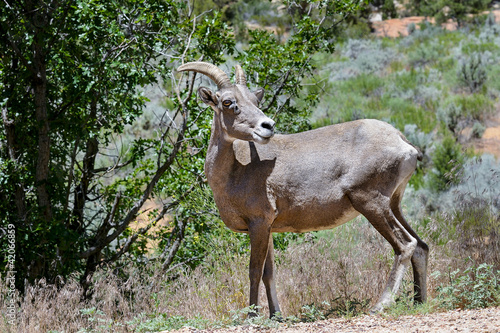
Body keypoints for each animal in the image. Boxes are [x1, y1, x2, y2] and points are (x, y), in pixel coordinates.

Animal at [178, 61, 428, 316]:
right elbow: (269, 273)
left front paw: (252, 315)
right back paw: (419, 301)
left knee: (406, 245)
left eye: (255, 100)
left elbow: (254, 271)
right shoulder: (267, 228)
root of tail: (404, 144)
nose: (268, 126)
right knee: (421, 246)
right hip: (393, 205)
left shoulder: (258, 223)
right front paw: (276, 316)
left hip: (372, 204)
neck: (236, 171)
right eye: (228, 102)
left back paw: (381, 304)